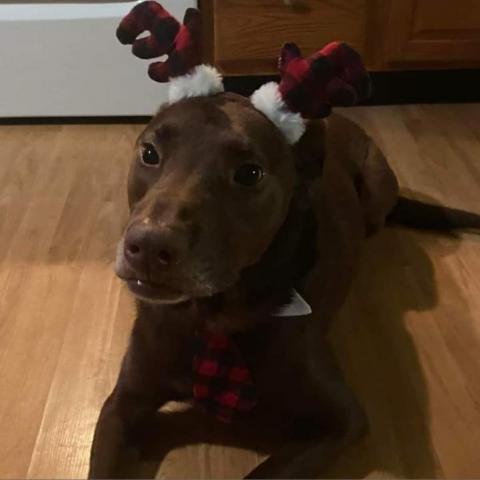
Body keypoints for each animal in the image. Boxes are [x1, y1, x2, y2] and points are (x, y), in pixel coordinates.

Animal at [88, 91, 406, 480]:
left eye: (249, 173)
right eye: (149, 153)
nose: (148, 246)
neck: (212, 316)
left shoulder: (344, 420)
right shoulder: (121, 405)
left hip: (379, 188)